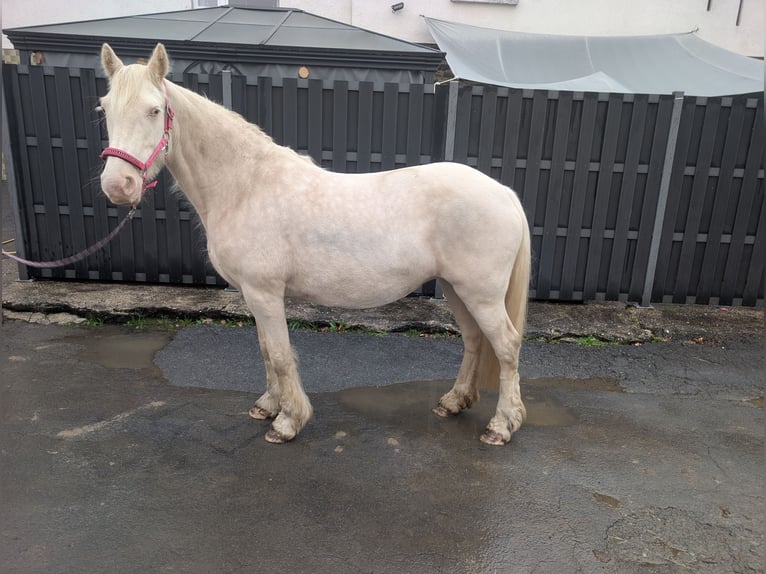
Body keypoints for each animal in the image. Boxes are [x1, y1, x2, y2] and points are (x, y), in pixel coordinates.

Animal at [99, 43, 531, 446]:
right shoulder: (254, 295)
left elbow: (279, 354)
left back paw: (501, 426)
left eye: (155, 111)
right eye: (105, 109)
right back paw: (455, 401)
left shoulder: (265, 293)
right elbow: (265, 351)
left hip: (481, 294)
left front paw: (287, 422)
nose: (118, 186)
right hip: (457, 289)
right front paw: (267, 406)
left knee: (506, 346)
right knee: (475, 339)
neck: (245, 185)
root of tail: (505, 193)